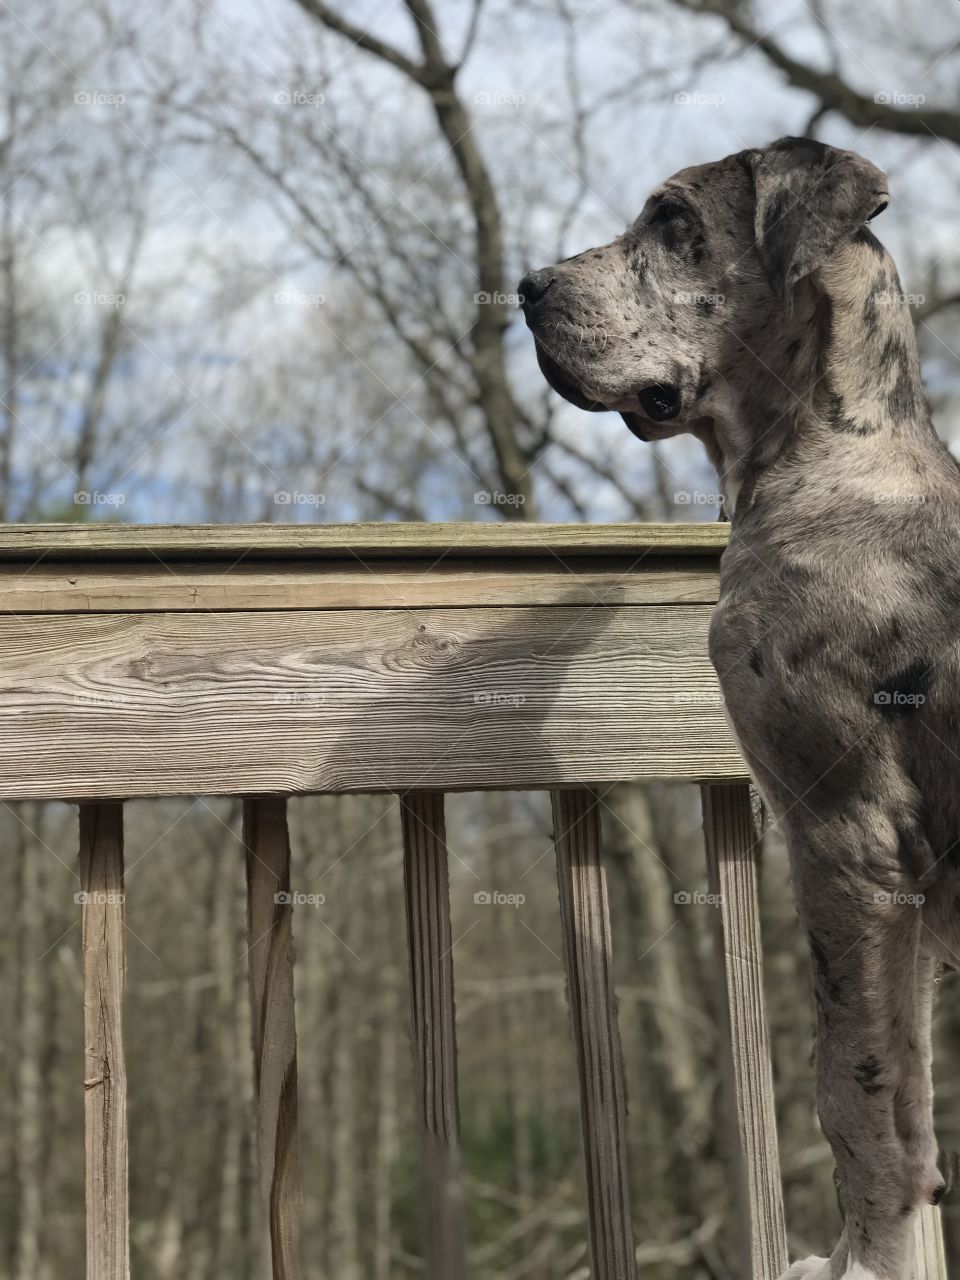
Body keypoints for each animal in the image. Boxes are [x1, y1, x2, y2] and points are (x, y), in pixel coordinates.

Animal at [522, 135, 960, 1274]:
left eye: (673, 221)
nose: (527, 287)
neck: (836, 462)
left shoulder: (848, 838)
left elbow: (857, 1094)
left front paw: (864, 1259)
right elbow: (901, 1094)